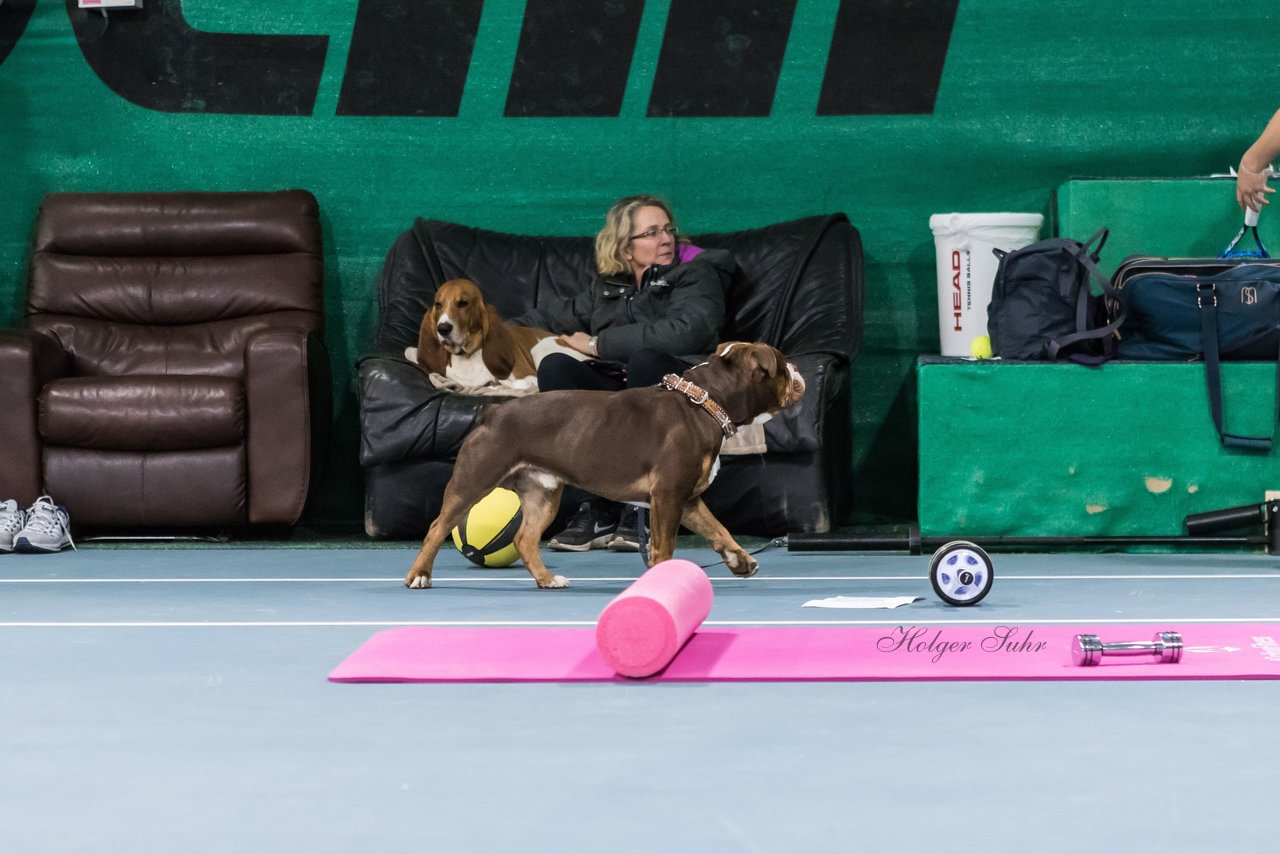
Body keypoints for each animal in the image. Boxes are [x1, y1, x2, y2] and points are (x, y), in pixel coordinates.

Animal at [407, 277, 583, 391]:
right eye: (438, 304)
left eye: (463, 303)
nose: (442, 328)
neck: (467, 356)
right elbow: (409, 352)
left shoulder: (529, 378)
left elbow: (517, 384)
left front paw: (495, 384)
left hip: (539, 349)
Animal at [407, 340, 808, 588]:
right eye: (781, 364)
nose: (796, 366)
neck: (705, 400)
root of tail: (493, 413)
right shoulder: (669, 496)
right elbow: (665, 546)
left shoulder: (688, 499)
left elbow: (718, 530)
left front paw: (740, 560)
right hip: (473, 481)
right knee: (437, 527)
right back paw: (420, 575)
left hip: (543, 493)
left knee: (525, 538)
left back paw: (547, 580)